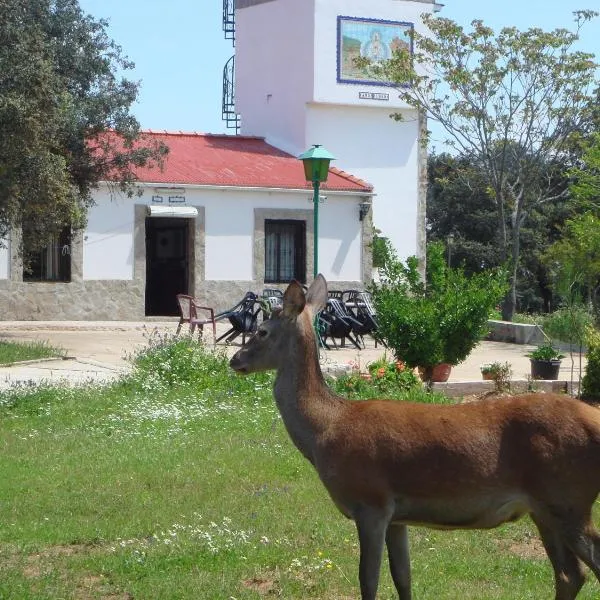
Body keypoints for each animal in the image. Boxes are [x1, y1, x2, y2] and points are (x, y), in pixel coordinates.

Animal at [229, 274, 600, 596]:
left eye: (261, 331)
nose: (235, 360)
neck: (325, 430)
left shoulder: (371, 501)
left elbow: (369, 580)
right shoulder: (398, 515)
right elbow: (403, 576)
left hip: (568, 496)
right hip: (546, 507)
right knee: (570, 574)